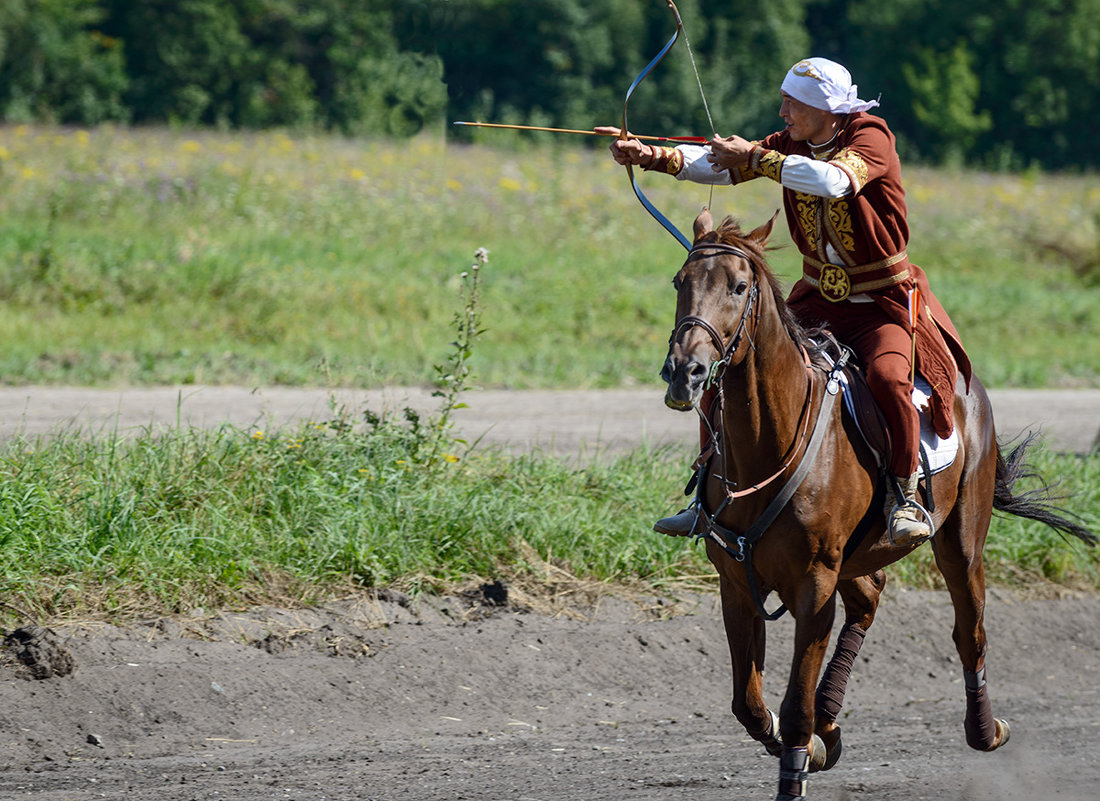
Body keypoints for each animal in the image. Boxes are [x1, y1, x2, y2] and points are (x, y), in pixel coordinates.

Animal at [655, 210, 1095, 796]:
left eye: (739, 287)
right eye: (679, 282)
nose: (686, 372)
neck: (772, 443)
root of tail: (969, 388)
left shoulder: (815, 584)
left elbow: (793, 707)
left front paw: (798, 758)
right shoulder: (736, 582)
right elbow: (748, 703)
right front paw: (806, 741)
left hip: (960, 543)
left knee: (970, 631)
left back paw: (985, 730)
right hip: (858, 556)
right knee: (869, 599)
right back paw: (831, 722)